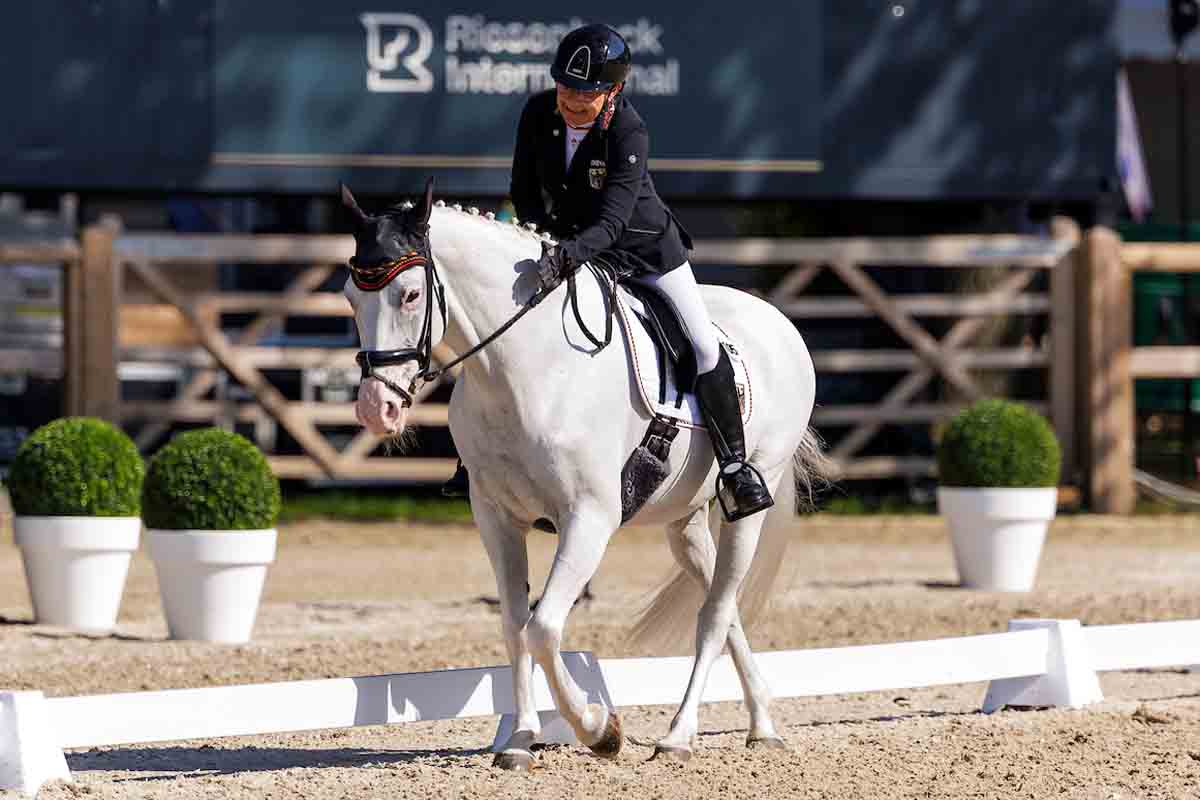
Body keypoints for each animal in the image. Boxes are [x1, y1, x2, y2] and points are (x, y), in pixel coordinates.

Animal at [338, 181, 825, 767]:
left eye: (411, 295)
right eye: (350, 296)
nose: (376, 409)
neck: (523, 370)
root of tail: (778, 320)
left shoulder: (589, 518)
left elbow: (545, 627)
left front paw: (599, 729)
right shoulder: (496, 518)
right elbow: (515, 626)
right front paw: (521, 740)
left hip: (750, 499)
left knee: (712, 616)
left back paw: (678, 737)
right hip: (683, 520)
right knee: (722, 607)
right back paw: (762, 723)